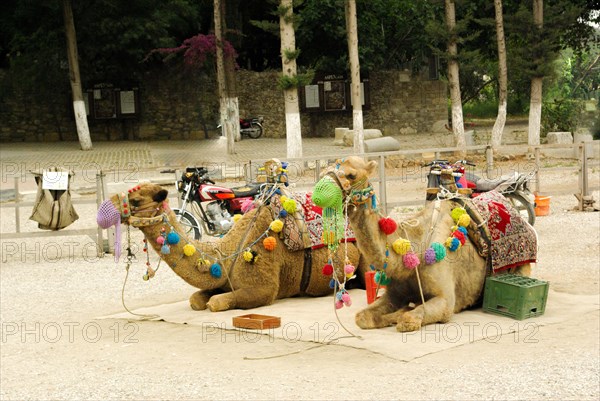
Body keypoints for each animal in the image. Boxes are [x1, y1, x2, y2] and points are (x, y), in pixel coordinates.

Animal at [98, 181, 360, 310]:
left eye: (135, 200)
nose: (104, 210)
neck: (228, 253)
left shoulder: (264, 289)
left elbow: (215, 303)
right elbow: (196, 299)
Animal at [314, 156, 536, 332]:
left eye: (351, 175)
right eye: (323, 173)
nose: (318, 193)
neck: (416, 245)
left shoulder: (446, 300)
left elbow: (408, 320)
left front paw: (401, 313)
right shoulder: (394, 293)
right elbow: (362, 317)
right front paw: (393, 313)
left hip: (522, 266)